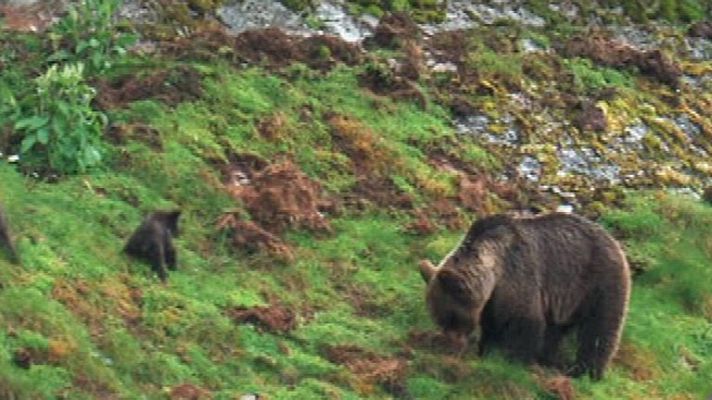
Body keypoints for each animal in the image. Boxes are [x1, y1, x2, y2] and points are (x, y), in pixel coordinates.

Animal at [419, 212, 631, 380]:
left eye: (452, 317)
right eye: (438, 317)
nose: (450, 343)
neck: (494, 270)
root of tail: (614, 241)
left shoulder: (519, 274)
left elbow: (524, 321)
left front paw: (514, 360)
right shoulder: (495, 297)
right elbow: (493, 324)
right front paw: (487, 350)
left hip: (599, 282)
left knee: (599, 329)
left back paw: (587, 372)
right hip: (566, 299)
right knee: (555, 330)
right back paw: (547, 358)